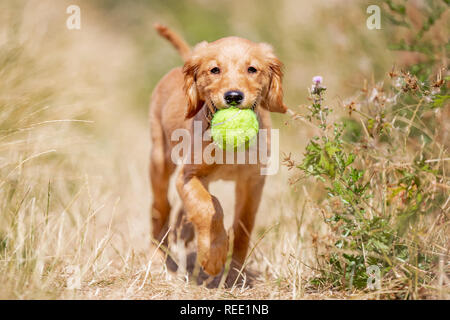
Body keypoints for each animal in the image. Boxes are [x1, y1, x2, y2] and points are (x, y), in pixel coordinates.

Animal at [149, 24, 286, 282]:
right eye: (214, 70)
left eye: (252, 69)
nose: (233, 97)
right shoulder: (188, 176)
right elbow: (209, 206)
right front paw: (213, 257)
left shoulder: (253, 181)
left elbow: (243, 223)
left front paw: (235, 270)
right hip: (160, 159)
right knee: (160, 204)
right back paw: (160, 246)